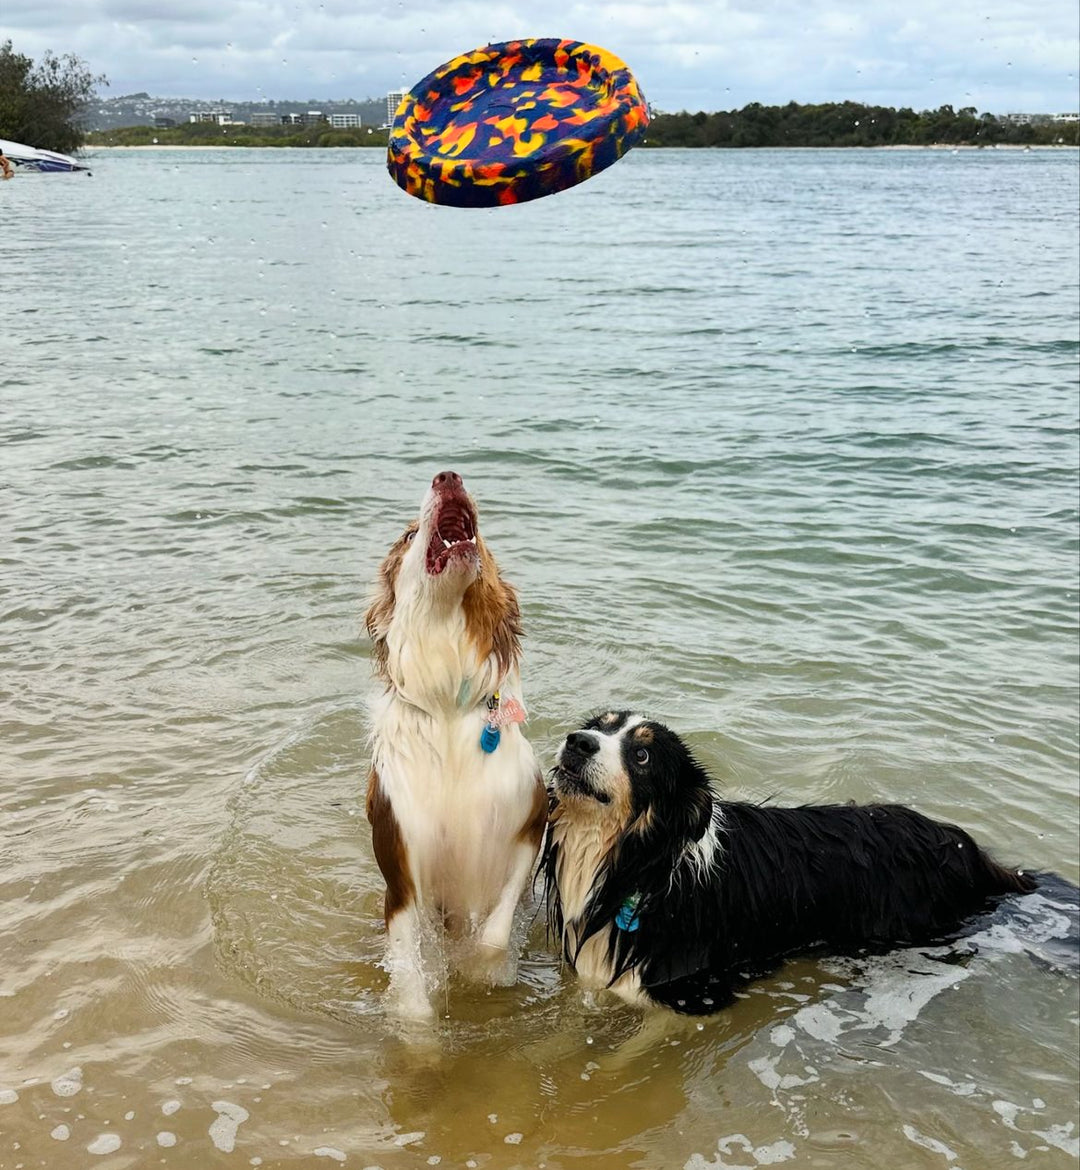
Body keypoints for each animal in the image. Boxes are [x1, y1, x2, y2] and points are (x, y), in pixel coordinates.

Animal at [365, 470, 549, 1020]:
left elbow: (493, 933)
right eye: (408, 536)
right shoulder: (402, 873)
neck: (448, 704)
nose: (448, 476)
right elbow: (411, 981)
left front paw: (482, 970)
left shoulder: (529, 827)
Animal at [545, 706, 1067, 1020]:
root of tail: (969, 849)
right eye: (598, 724)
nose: (577, 741)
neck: (639, 866)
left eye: (642, 754)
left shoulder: (692, 994)